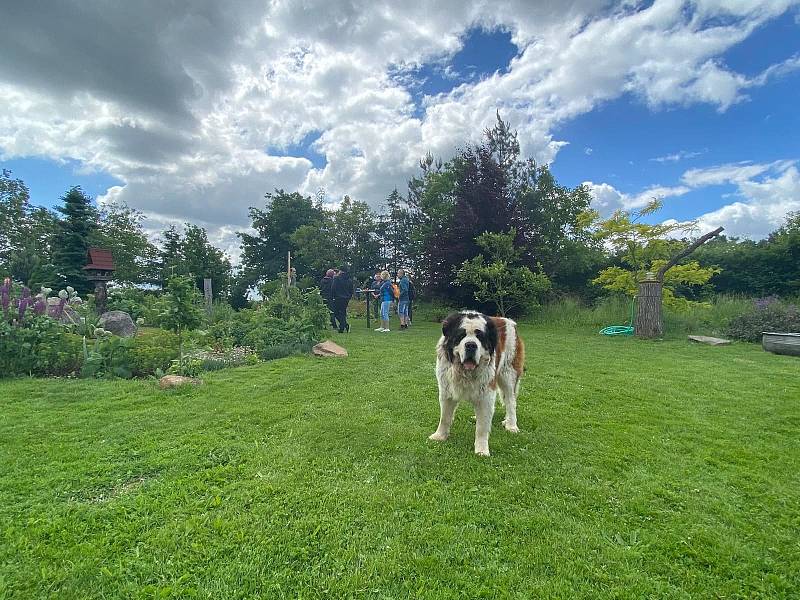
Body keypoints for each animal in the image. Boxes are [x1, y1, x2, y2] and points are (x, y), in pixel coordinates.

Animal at [432, 312, 524, 458]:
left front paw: (482, 450)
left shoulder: (486, 394)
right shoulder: (446, 389)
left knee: (511, 401)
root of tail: (508, 321)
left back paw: (511, 425)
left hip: (508, 374)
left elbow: (482, 427)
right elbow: (445, 417)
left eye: (479, 337)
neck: (464, 372)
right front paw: (439, 436)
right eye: (461, 335)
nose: (470, 345)